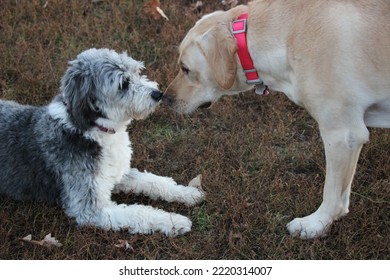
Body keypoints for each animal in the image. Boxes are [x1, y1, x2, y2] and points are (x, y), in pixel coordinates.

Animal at [0, 48, 203, 236]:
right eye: (123, 84)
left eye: (137, 71)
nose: (158, 94)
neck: (95, 130)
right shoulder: (90, 207)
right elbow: (138, 212)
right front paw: (175, 220)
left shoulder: (118, 173)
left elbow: (154, 181)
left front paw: (187, 193)